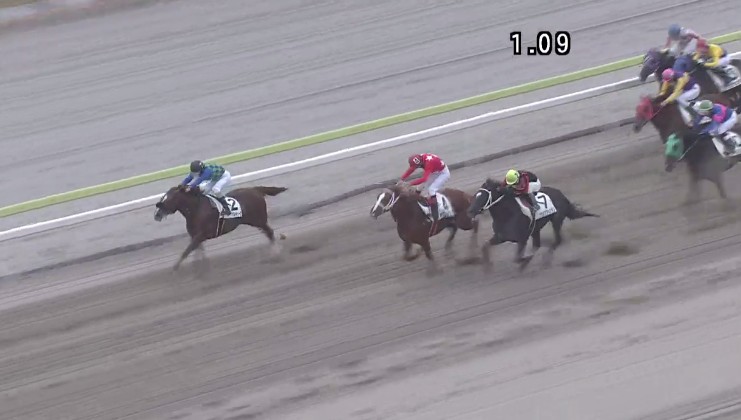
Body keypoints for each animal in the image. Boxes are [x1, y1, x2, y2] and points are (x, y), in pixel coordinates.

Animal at [154, 184, 287, 271]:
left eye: (170, 198)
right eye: (164, 197)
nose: (157, 215)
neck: (196, 209)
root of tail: (255, 189)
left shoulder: (200, 235)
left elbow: (186, 251)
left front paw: (175, 269)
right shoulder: (195, 236)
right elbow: (198, 251)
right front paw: (202, 268)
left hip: (258, 220)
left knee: (270, 232)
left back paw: (276, 253)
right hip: (256, 222)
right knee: (267, 233)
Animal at [466, 179, 598, 273]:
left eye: (482, 196)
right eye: (475, 195)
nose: (470, 211)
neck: (507, 215)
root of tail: (561, 194)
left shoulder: (522, 239)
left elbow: (518, 258)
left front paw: (525, 262)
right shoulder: (501, 237)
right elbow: (485, 246)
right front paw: (487, 268)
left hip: (556, 220)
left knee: (557, 240)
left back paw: (545, 260)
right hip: (536, 229)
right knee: (538, 244)